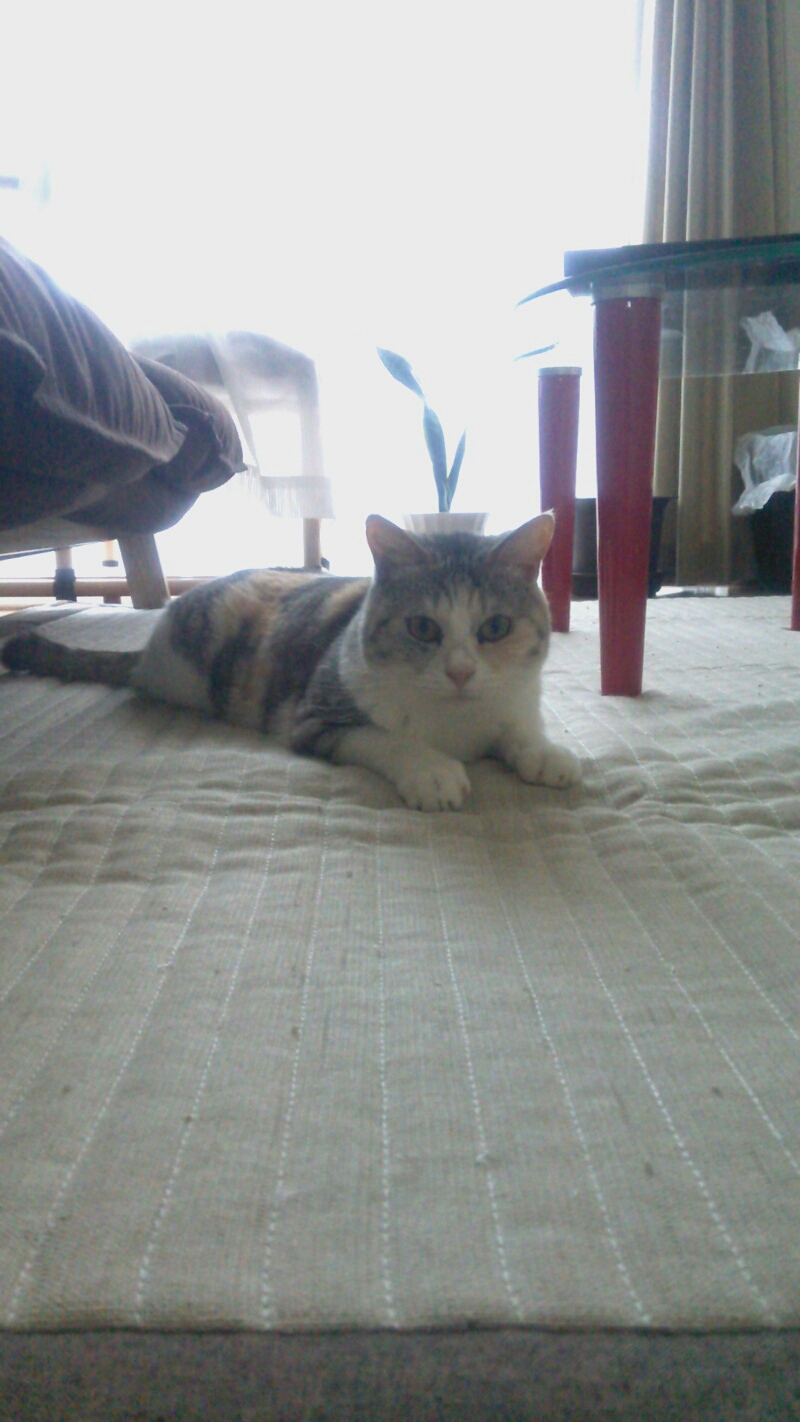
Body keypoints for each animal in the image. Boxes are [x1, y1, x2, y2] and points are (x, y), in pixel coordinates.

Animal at [1, 513, 580, 811]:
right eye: (423, 628)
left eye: (495, 628)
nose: (460, 672)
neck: (457, 722)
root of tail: (149, 648)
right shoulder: (316, 716)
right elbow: (388, 738)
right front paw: (432, 770)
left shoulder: (514, 699)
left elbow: (518, 729)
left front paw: (545, 752)